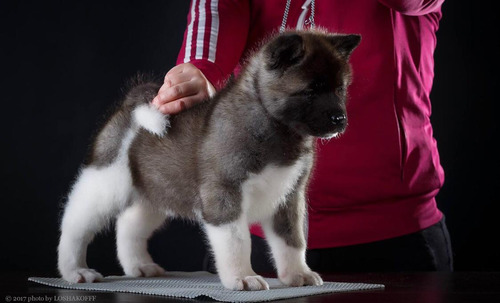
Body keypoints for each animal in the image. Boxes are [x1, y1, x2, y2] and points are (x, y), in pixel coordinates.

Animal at [57, 30, 360, 292]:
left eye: (340, 89)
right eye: (311, 91)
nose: (340, 120)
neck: (273, 126)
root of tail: (131, 104)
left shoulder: (289, 197)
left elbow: (293, 240)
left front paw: (297, 273)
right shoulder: (224, 194)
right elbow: (237, 241)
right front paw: (242, 277)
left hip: (155, 191)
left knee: (129, 226)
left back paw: (139, 266)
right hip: (107, 182)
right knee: (75, 225)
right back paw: (75, 271)